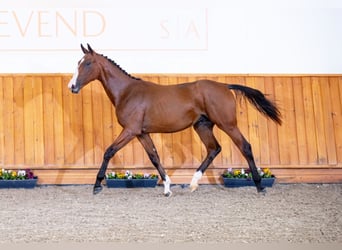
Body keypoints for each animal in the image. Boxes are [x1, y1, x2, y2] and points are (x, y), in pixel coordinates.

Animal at [67, 44, 280, 197]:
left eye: (87, 63)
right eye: (78, 62)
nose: (72, 87)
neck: (127, 92)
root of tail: (225, 86)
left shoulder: (130, 130)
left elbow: (109, 151)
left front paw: (96, 186)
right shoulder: (141, 133)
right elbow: (154, 157)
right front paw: (167, 188)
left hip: (227, 124)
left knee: (245, 147)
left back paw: (260, 187)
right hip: (202, 126)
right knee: (214, 149)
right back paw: (193, 184)